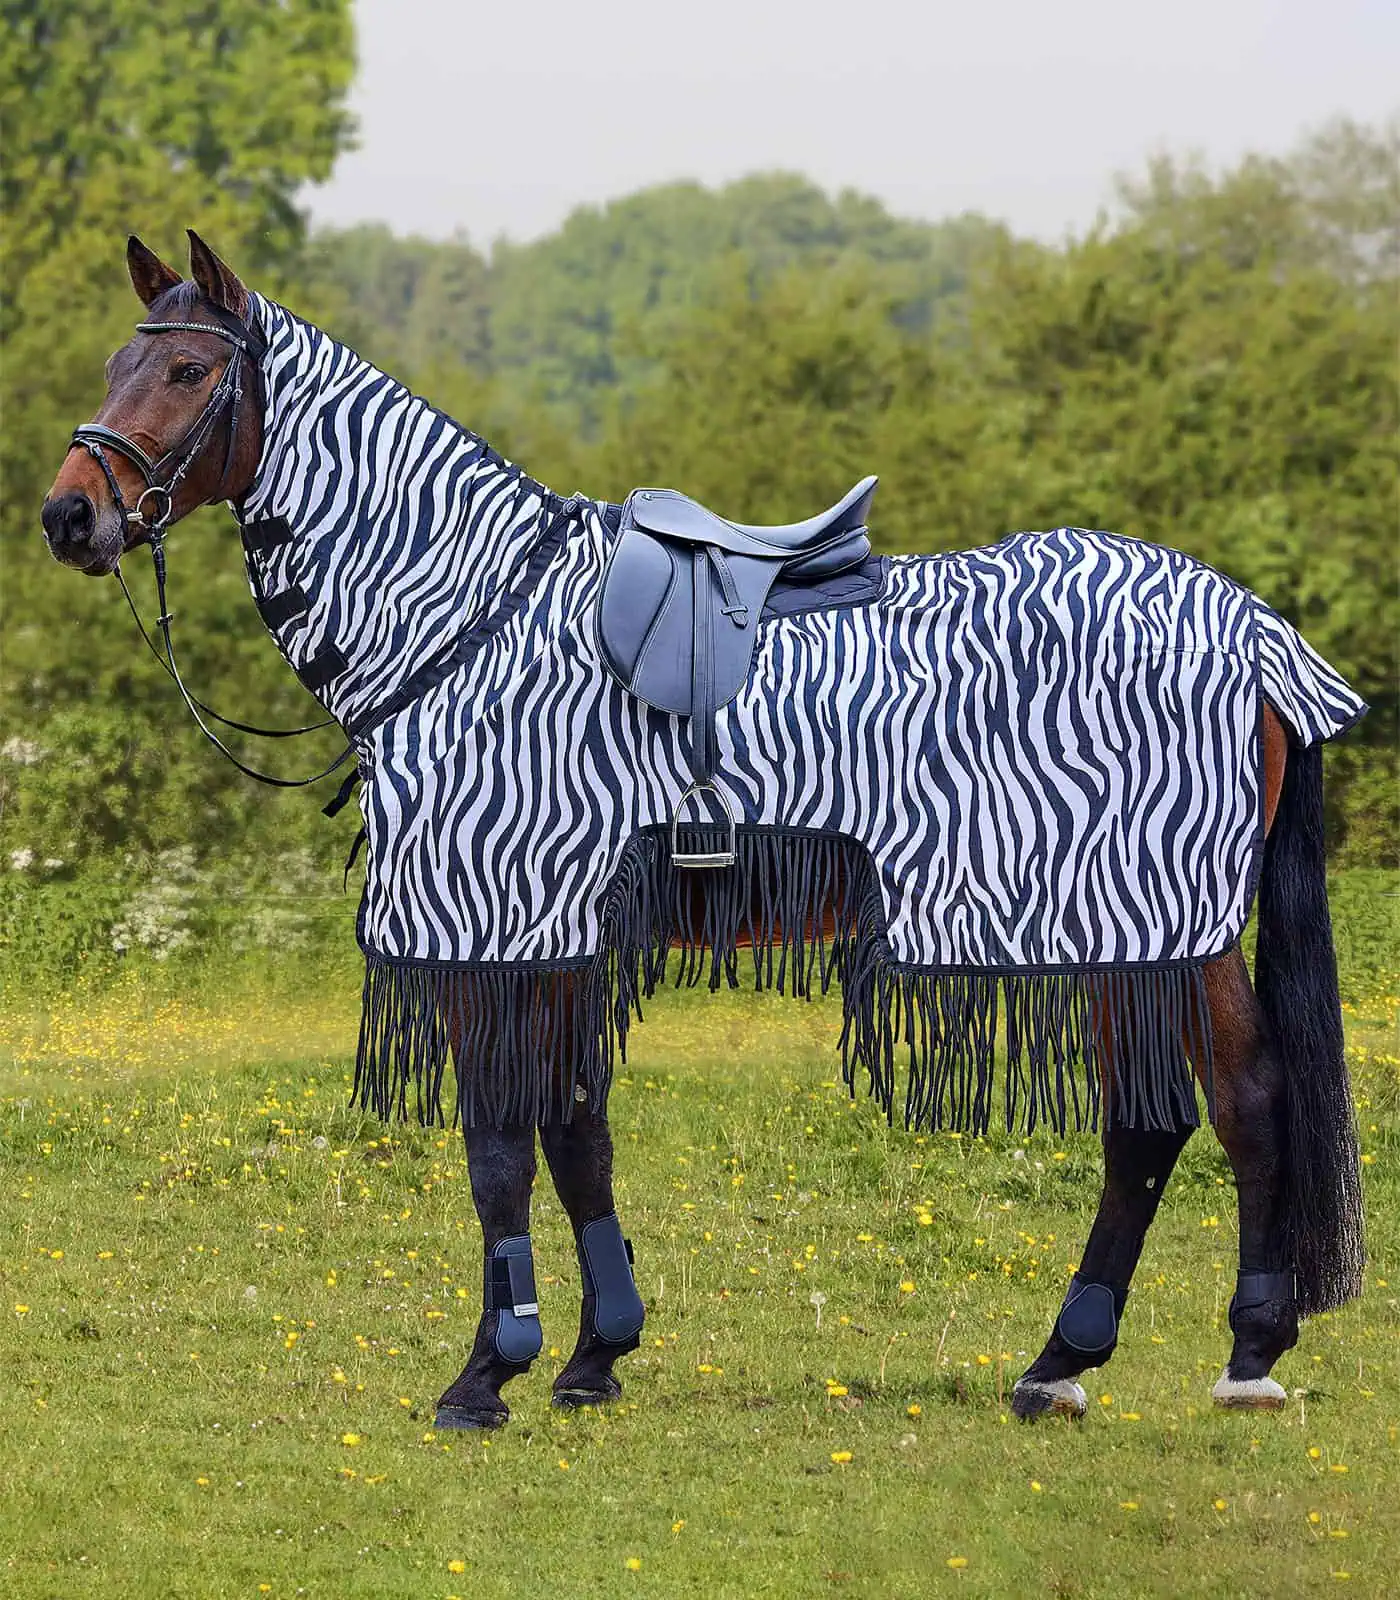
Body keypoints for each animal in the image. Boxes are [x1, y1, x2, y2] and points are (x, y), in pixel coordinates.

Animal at [41, 233, 1369, 1427]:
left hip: (1160, 921)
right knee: (1152, 1121)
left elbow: (496, 1144)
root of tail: (1253, 628)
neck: (470, 619)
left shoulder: (496, 921)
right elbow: (576, 1132)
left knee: (1240, 1100)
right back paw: (1060, 1364)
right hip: (1114, 928)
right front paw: (593, 1356)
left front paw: (486, 1373)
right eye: (114, 360)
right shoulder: (555, 929)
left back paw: (1243, 1353)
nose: (68, 518)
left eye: (186, 372)